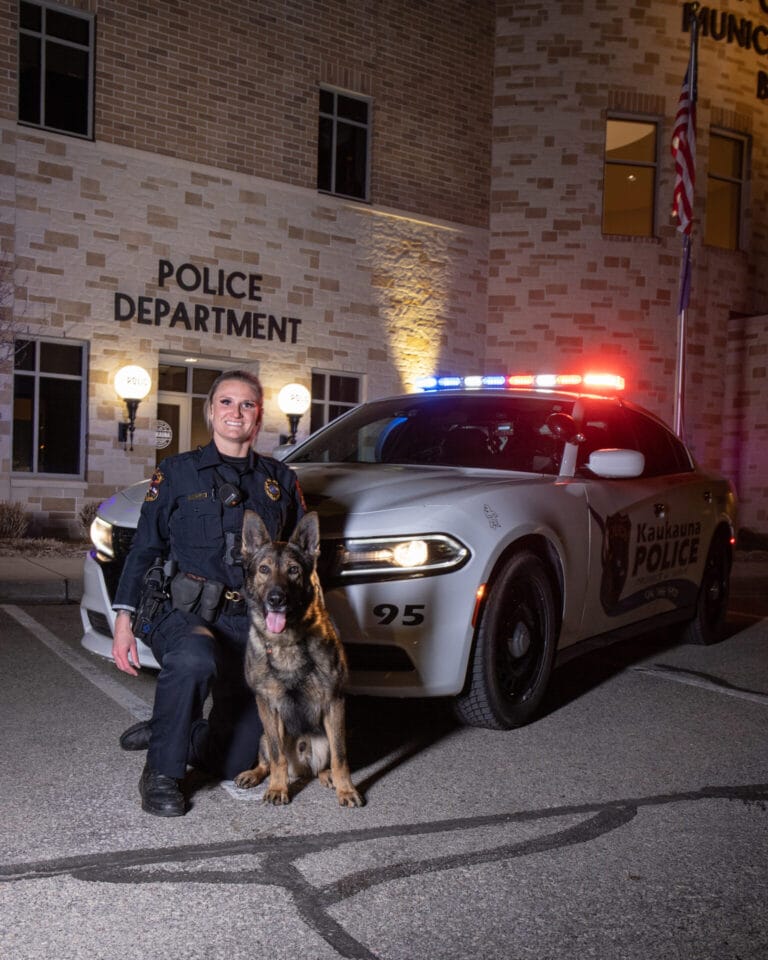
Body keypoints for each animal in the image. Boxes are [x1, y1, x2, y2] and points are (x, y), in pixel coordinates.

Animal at [232, 512, 364, 808]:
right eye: (264, 570)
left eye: (293, 570)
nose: (276, 599)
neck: (287, 643)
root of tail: (303, 765)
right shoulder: (267, 705)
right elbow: (277, 757)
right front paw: (278, 788)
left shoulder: (334, 702)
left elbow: (341, 758)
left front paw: (346, 790)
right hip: (263, 735)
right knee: (268, 759)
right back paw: (255, 773)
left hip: (325, 737)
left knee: (325, 764)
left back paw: (328, 777)